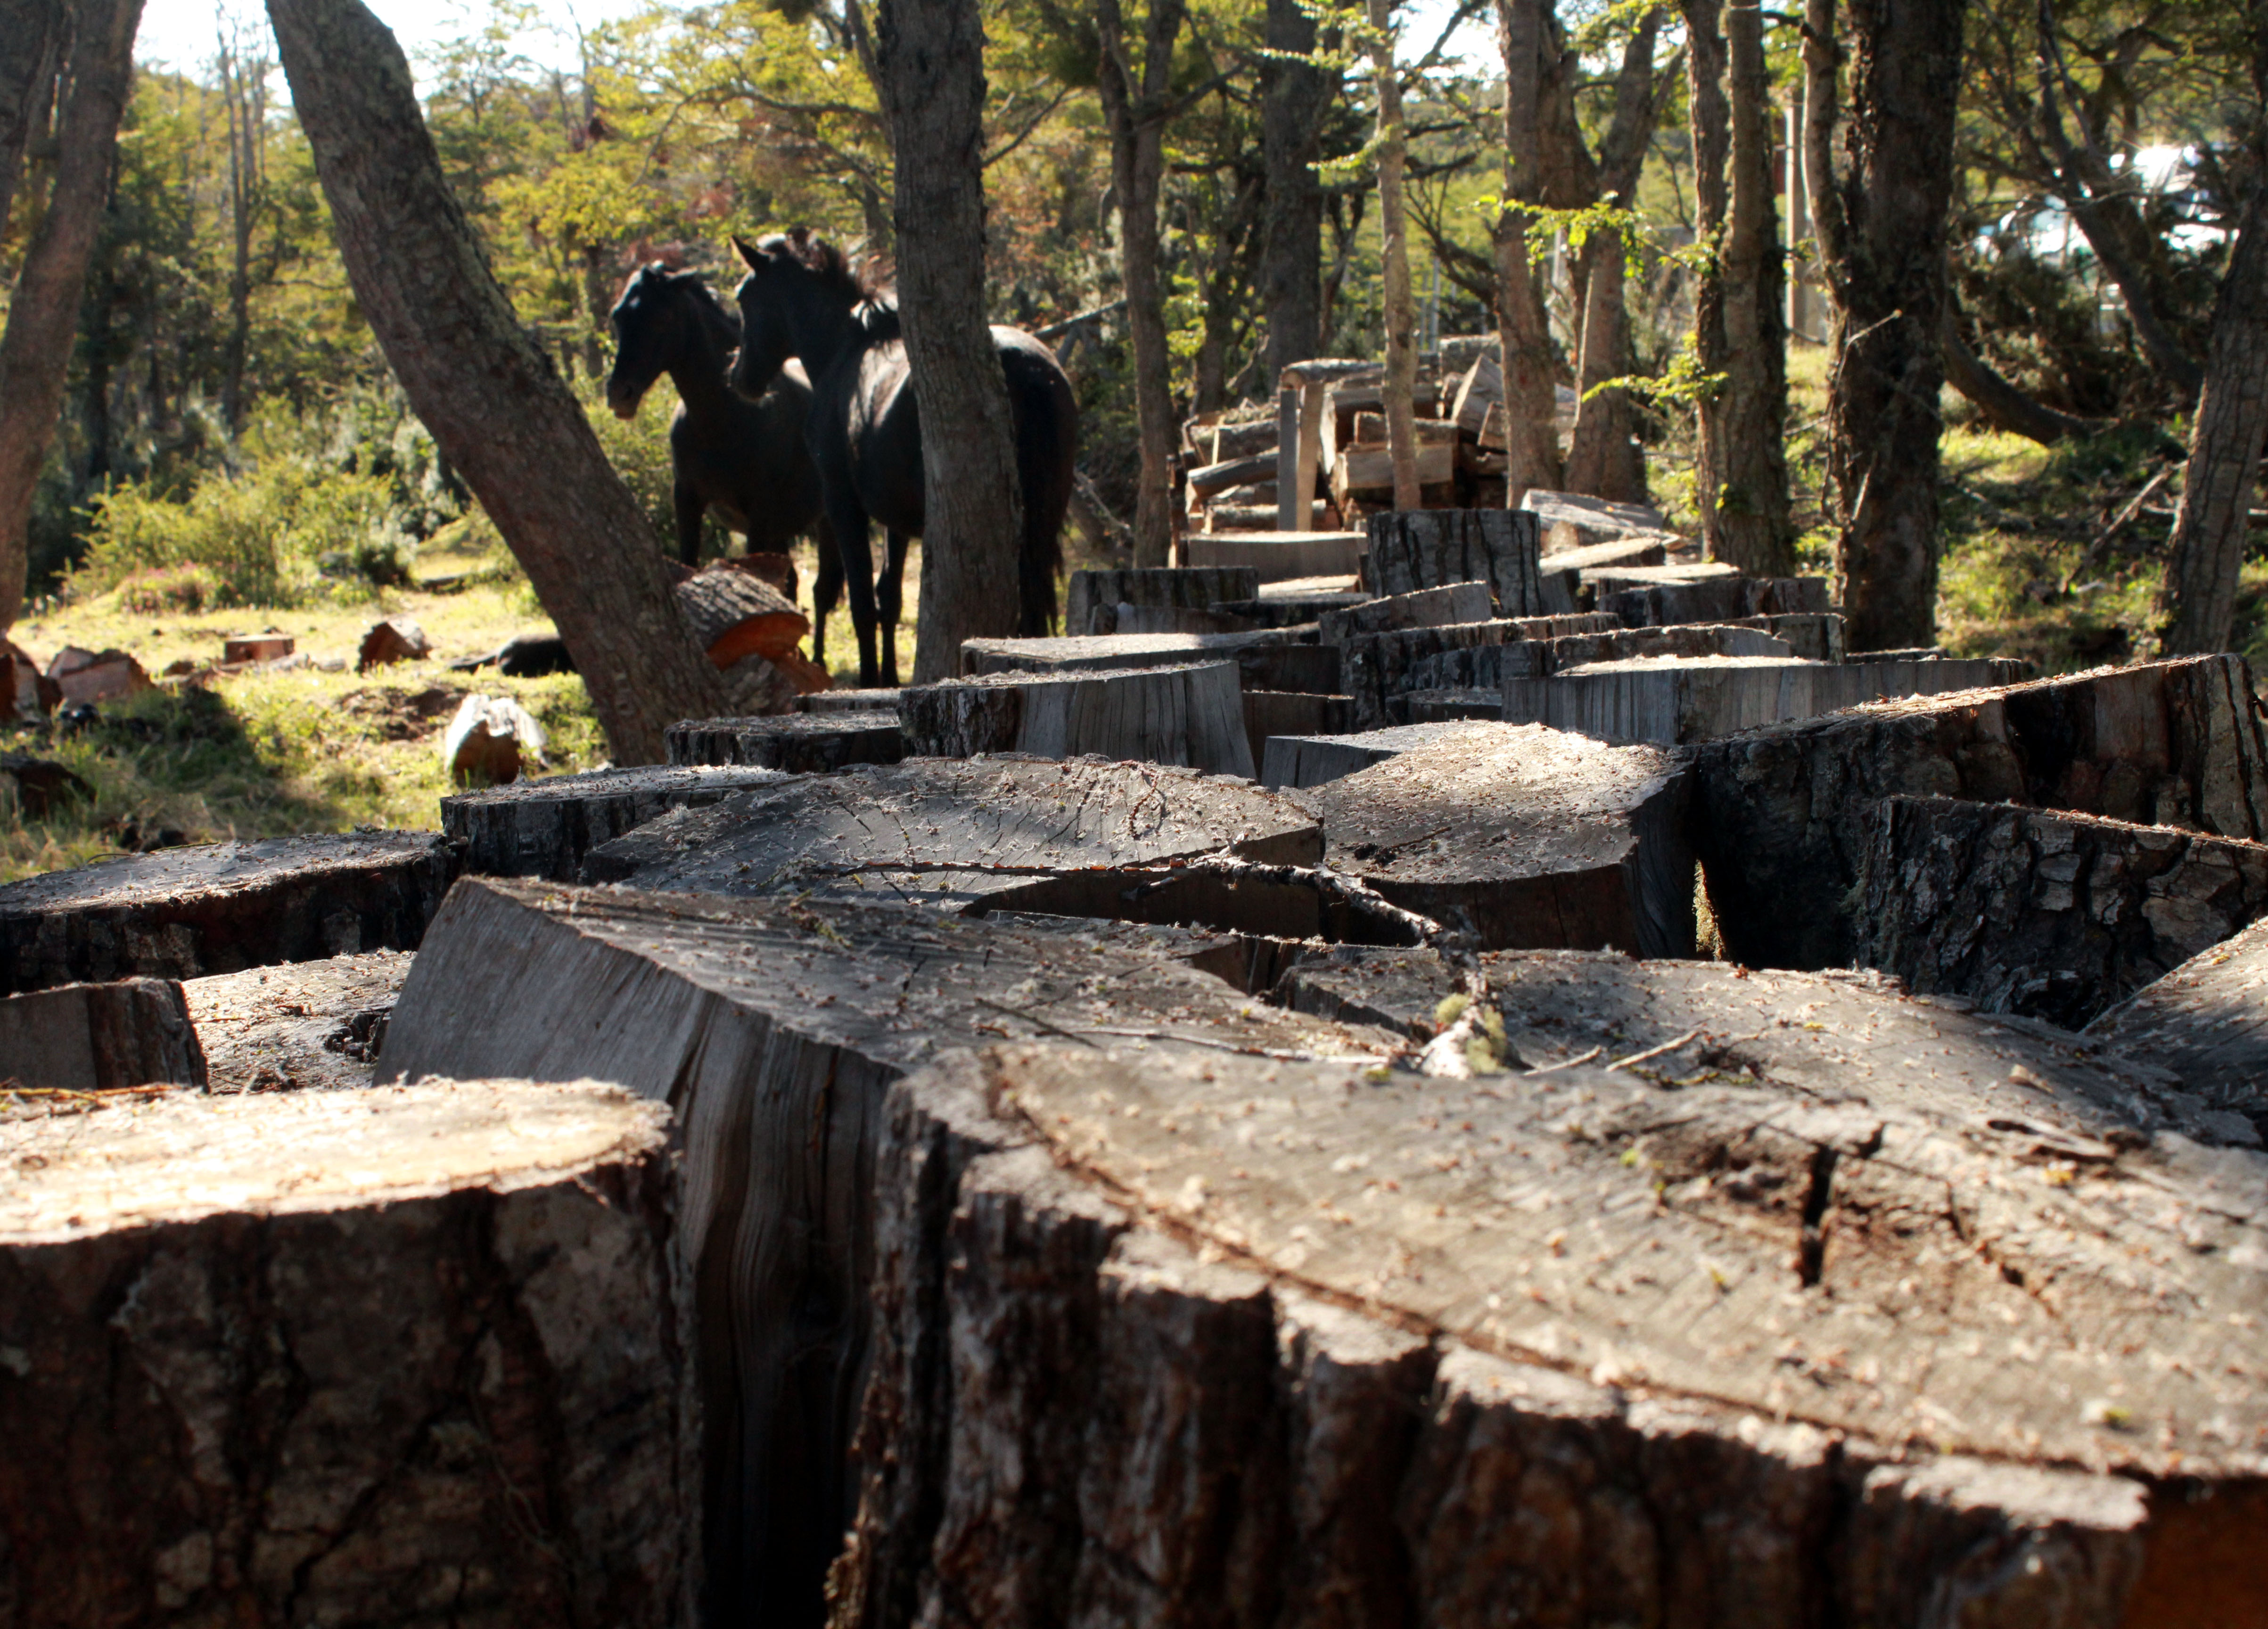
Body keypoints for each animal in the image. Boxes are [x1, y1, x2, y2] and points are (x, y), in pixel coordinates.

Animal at [603, 260, 844, 662]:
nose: (620, 393)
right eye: (618, 316)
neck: (724, 417)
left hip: (824, 522)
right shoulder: (687, 500)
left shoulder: (760, 513)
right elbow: (690, 567)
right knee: (793, 584)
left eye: (662, 317)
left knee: (821, 591)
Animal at [725, 229, 1079, 690]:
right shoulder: (895, 520)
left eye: (744, 297)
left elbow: (862, 602)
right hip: (1045, 519)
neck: (843, 353)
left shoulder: (844, 506)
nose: (738, 377)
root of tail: (1031, 366)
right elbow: (888, 598)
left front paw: (872, 681)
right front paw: (891, 678)